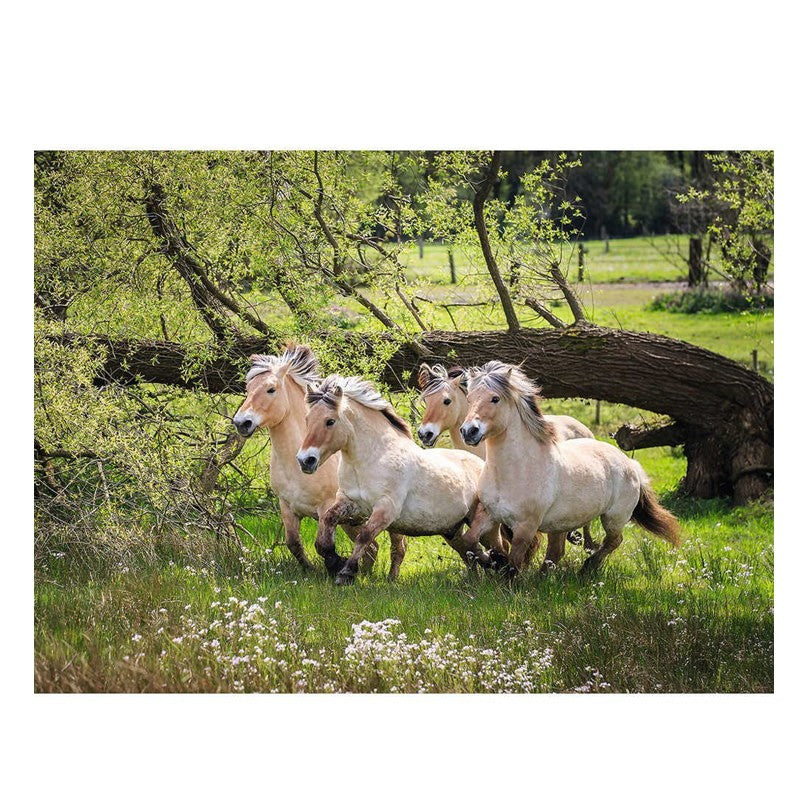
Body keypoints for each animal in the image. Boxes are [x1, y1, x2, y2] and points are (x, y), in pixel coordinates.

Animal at [232, 345, 407, 578]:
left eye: (271, 389)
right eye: (248, 387)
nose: (241, 422)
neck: (295, 467)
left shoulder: (327, 508)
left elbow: (322, 545)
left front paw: (335, 565)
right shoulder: (287, 507)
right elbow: (294, 544)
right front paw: (314, 570)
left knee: (398, 546)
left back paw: (390, 578)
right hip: (352, 521)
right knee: (372, 548)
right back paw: (363, 574)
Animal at [296, 374, 505, 585]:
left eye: (330, 421)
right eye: (307, 419)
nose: (305, 460)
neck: (370, 459)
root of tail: (482, 464)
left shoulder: (385, 509)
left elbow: (364, 536)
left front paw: (346, 572)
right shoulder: (351, 503)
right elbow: (326, 527)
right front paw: (334, 561)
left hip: (483, 525)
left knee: (493, 547)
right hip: (452, 530)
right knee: (469, 550)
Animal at [459, 361, 680, 578]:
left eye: (495, 398)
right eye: (469, 398)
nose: (469, 431)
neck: (514, 471)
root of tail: (630, 464)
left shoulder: (526, 527)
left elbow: (514, 564)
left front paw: (503, 570)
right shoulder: (489, 513)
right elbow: (469, 541)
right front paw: (493, 560)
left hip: (614, 518)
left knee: (613, 541)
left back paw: (587, 568)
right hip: (561, 524)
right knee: (556, 553)